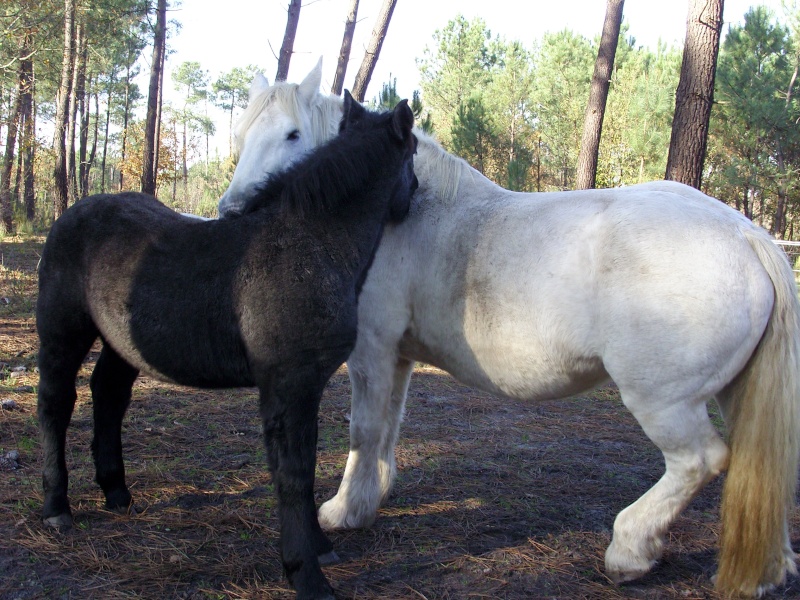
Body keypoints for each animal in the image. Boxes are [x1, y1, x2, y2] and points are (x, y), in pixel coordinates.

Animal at [217, 61, 800, 596]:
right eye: (242, 134)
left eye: (293, 134)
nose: (232, 212)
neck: (398, 214)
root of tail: (747, 235)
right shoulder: (399, 355)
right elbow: (388, 426)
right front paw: (374, 494)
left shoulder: (372, 349)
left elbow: (363, 430)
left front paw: (344, 511)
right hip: (733, 393)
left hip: (663, 401)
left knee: (699, 462)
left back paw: (630, 549)